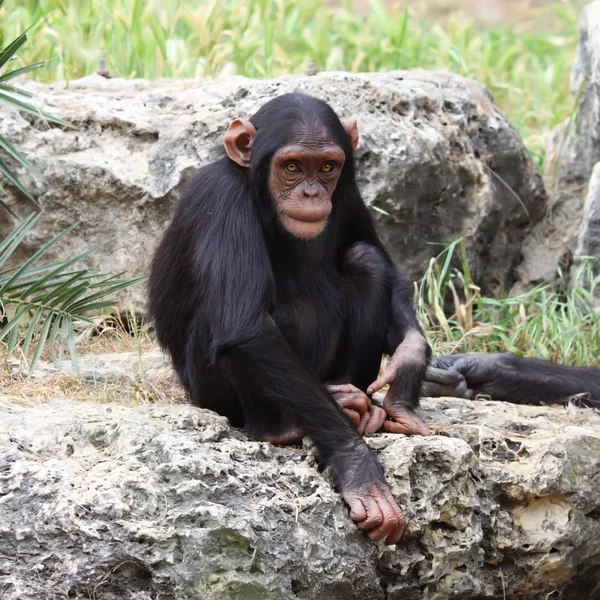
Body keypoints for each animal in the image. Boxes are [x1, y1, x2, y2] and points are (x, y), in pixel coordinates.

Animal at [149, 92, 432, 544]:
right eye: (293, 166)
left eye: (327, 167)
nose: (313, 192)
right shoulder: (219, 199)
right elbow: (247, 328)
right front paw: (358, 466)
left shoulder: (350, 193)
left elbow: (385, 264)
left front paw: (408, 367)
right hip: (211, 397)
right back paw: (280, 428)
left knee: (365, 260)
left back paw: (354, 402)